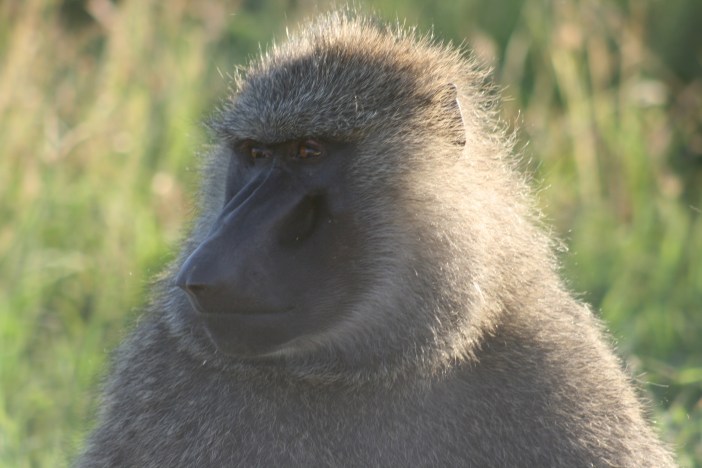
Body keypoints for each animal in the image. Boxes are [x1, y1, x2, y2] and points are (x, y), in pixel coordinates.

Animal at [78, 11, 675, 467]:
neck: (360, 368)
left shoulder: (557, 366)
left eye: (310, 151)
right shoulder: (165, 370)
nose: (203, 272)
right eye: (254, 153)